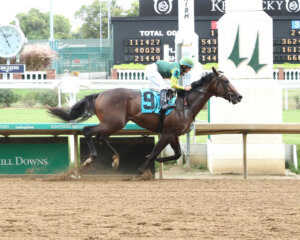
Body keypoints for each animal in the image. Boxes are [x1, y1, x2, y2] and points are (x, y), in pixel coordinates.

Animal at [48, 66, 243, 173]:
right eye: (226, 81)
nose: (239, 96)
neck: (185, 104)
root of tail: (100, 94)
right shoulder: (167, 134)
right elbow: (156, 151)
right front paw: (142, 169)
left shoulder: (173, 134)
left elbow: (177, 154)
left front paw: (156, 161)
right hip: (113, 123)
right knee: (88, 132)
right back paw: (91, 158)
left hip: (113, 124)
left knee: (101, 137)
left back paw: (116, 159)